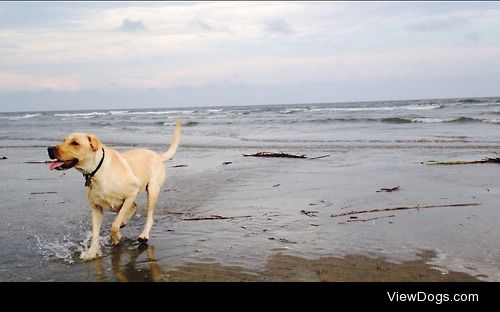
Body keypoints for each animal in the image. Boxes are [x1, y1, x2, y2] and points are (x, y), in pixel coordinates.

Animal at [47, 122, 182, 260]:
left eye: (75, 143)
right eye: (64, 140)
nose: (49, 149)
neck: (97, 171)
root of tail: (157, 155)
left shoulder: (131, 194)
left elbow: (114, 225)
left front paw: (116, 238)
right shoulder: (96, 207)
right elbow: (95, 233)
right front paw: (92, 252)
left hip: (152, 190)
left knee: (148, 215)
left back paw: (143, 234)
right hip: (115, 204)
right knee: (134, 207)